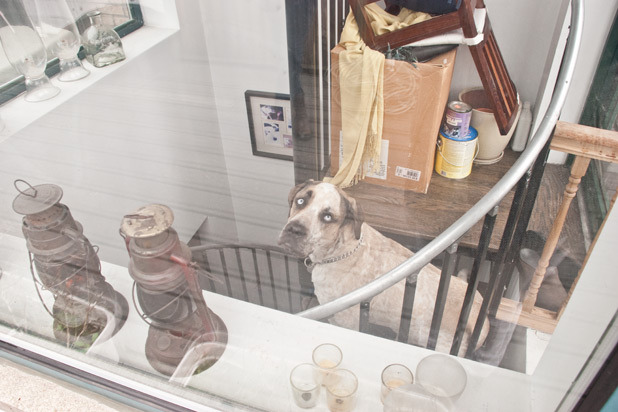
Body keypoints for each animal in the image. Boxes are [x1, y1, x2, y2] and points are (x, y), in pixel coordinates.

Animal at [276, 180, 488, 358]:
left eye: (327, 217)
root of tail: (481, 318)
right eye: (300, 201)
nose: (294, 229)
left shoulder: (344, 320)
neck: (340, 250)